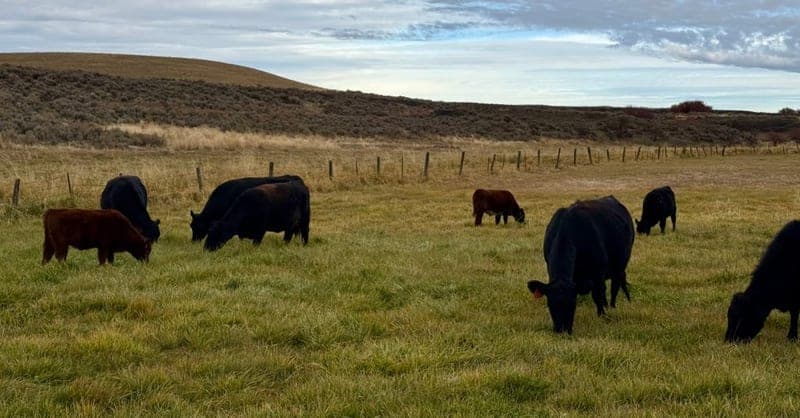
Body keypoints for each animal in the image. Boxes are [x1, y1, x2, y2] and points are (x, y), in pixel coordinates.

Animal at [527, 196, 634, 334]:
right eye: (550, 304)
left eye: (573, 304)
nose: (562, 330)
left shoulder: (598, 272)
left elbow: (597, 294)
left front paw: (602, 316)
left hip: (620, 266)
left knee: (615, 285)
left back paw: (612, 306)